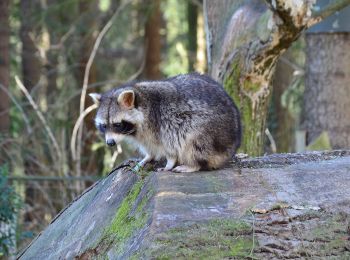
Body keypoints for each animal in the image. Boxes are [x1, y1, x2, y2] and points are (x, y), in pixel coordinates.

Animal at [90, 72, 241, 173]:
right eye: (104, 126)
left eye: (117, 125)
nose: (110, 143)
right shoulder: (144, 134)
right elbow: (148, 146)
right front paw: (148, 157)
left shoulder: (160, 122)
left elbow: (171, 145)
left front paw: (170, 162)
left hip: (208, 130)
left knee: (194, 143)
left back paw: (193, 164)